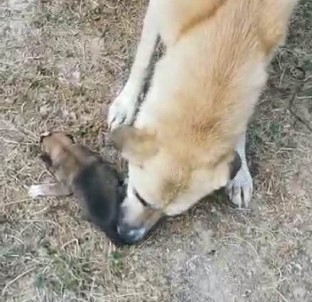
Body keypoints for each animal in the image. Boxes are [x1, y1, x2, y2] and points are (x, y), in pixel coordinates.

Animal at [107, 0, 298, 242]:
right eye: (140, 197)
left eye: (167, 214)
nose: (128, 237)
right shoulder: (159, 10)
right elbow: (143, 58)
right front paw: (126, 103)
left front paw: (241, 173)